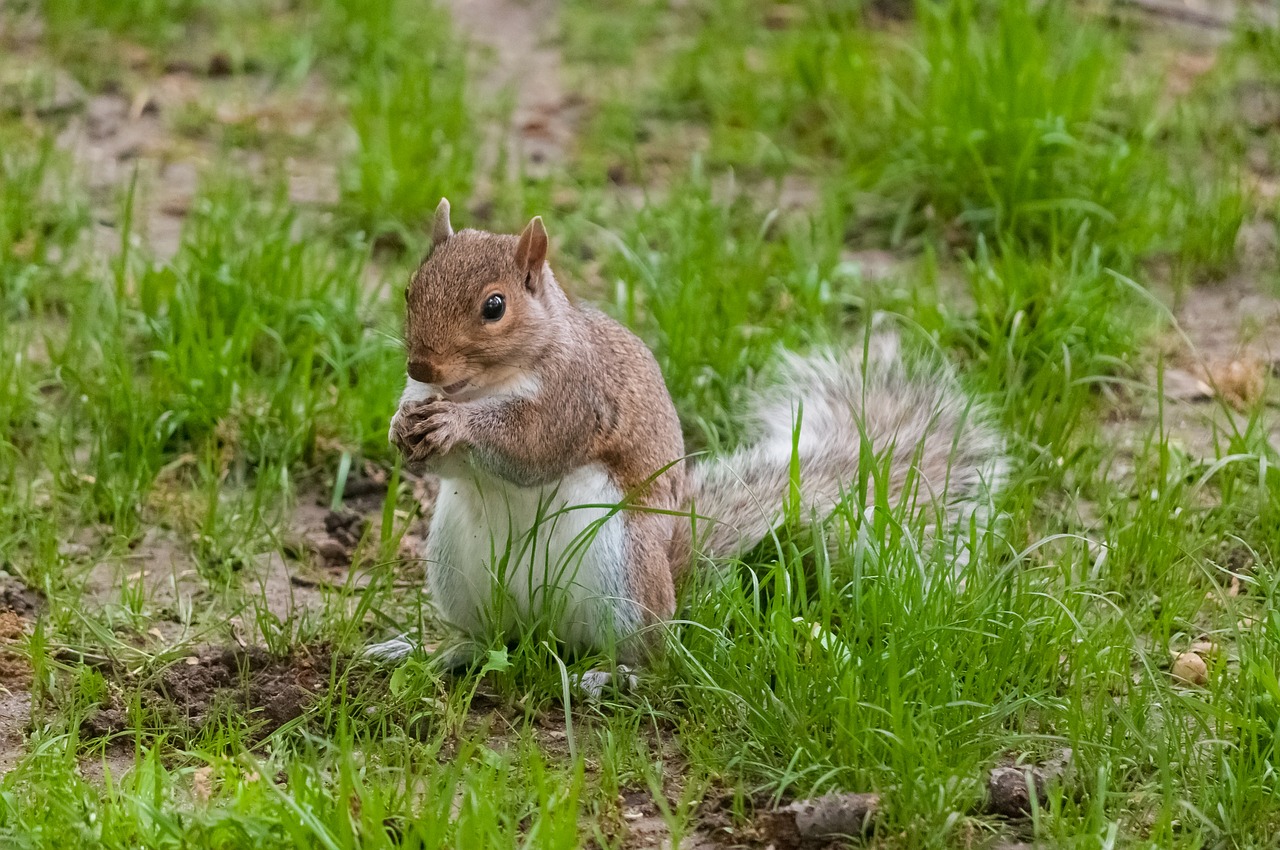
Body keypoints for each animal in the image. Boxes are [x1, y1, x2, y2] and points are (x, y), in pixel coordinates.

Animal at [363, 197, 1008, 686]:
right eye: (409, 290)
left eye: (494, 306)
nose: (421, 365)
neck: (484, 385)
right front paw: (402, 426)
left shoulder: (579, 398)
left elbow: (531, 446)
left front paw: (459, 427)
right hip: (456, 568)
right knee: (490, 636)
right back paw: (437, 650)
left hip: (622, 571)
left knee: (651, 655)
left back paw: (615, 675)